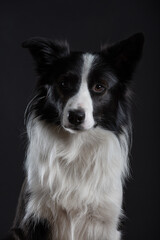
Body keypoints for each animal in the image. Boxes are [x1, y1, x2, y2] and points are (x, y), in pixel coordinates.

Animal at [3, 32, 144, 239]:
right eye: (63, 83)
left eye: (99, 87)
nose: (76, 116)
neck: (76, 147)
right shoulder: (33, 218)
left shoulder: (107, 223)